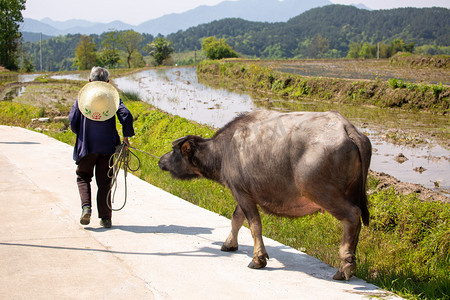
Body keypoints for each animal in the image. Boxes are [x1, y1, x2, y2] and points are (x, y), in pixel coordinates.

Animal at [160, 110, 370, 282]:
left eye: (173, 151)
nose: (161, 161)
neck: (225, 149)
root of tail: (347, 129)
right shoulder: (244, 193)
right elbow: (236, 219)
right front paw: (229, 244)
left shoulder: (241, 192)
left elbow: (254, 225)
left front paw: (258, 259)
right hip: (351, 191)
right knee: (357, 223)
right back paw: (348, 263)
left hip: (323, 193)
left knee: (352, 215)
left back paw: (344, 267)